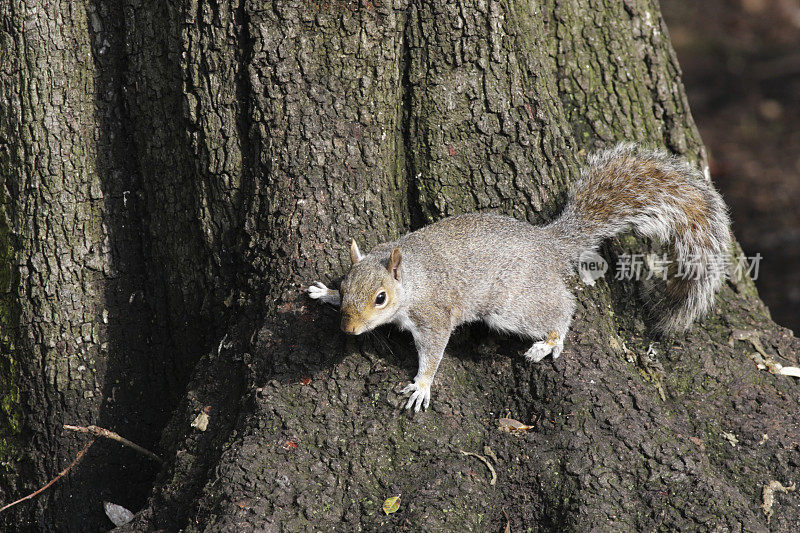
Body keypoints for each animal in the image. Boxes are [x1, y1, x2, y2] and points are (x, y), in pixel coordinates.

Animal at [306, 144, 732, 412]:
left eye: (380, 298)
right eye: (345, 285)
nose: (348, 329)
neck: (411, 278)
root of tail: (547, 245)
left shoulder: (434, 315)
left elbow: (433, 350)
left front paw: (422, 385)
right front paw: (323, 292)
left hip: (512, 306)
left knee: (562, 308)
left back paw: (549, 343)